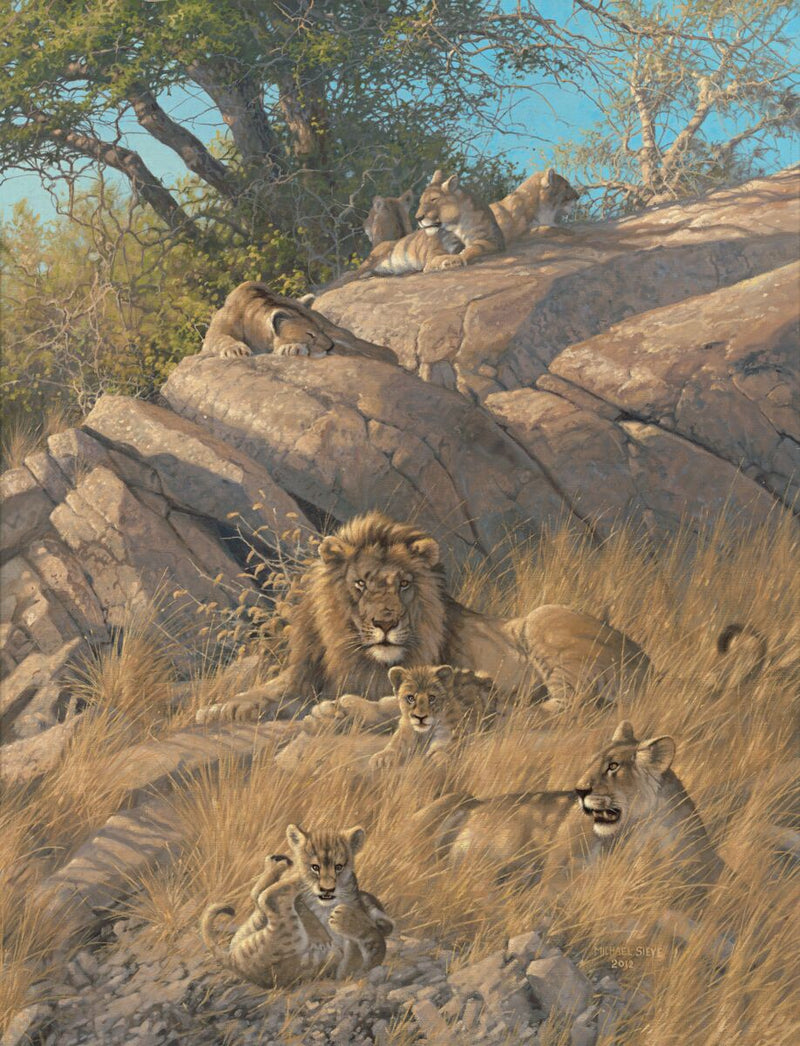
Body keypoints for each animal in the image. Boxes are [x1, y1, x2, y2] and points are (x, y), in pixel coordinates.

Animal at [195, 511, 653, 725]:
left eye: (403, 585)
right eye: (360, 584)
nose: (385, 624)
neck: (354, 650)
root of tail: (650, 664)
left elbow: (395, 702)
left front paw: (342, 710)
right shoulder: (307, 676)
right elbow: (263, 690)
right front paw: (215, 709)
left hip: (544, 619)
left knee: (565, 707)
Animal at [200, 281, 397, 363]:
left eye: (320, 330)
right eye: (310, 334)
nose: (329, 347)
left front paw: (290, 348)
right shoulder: (215, 332)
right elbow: (221, 338)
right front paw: (236, 349)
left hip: (340, 333)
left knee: (360, 343)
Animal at [201, 824, 393, 988]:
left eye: (339, 867)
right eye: (315, 867)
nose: (327, 889)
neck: (324, 906)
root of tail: (232, 960)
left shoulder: (346, 971)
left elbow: (374, 944)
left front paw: (346, 919)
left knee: (267, 898)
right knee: (261, 895)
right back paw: (281, 865)